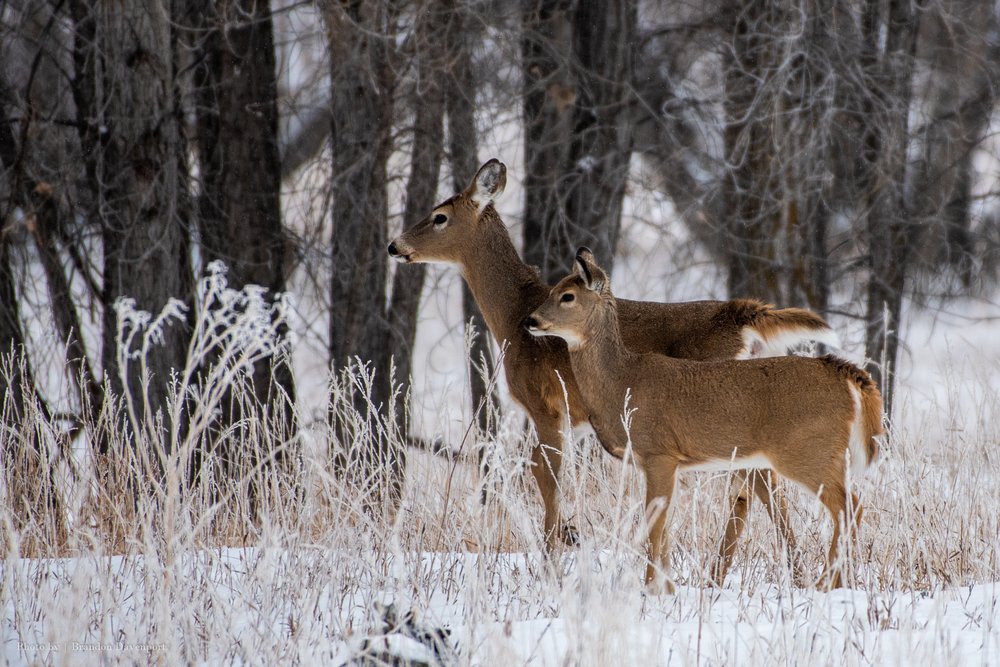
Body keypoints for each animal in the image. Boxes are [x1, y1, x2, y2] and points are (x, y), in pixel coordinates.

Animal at [387, 159, 840, 583]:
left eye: (439, 216)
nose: (394, 245)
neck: (514, 317)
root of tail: (741, 318)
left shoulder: (546, 405)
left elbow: (548, 478)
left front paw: (553, 558)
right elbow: (545, 475)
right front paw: (567, 540)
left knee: (761, 483)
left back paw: (778, 571)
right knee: (755, 485)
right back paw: (730, 574)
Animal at [524, 248, 883, 592]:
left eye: (567, 296)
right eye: (552, 289)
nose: (530, 319)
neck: (622, 383)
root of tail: (843, 373)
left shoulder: (659, 453)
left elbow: (654, 524)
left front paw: (652, 589)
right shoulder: (661, 463)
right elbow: (664, 527)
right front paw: (667, 587)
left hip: (808, 452)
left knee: (850, 507)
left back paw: (827, 583)